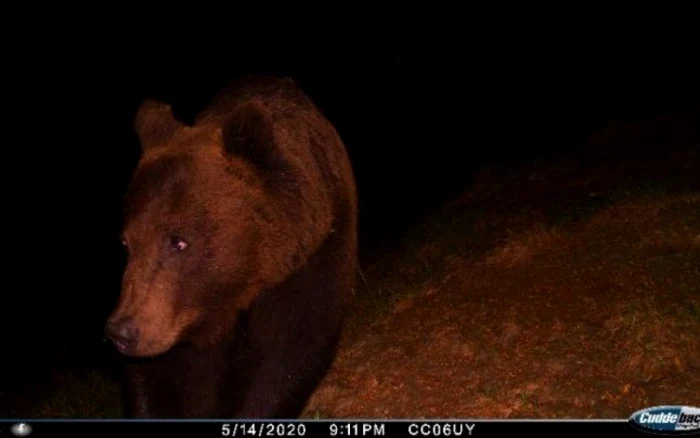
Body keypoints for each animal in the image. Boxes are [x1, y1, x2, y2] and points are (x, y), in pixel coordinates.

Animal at [106, 76, 358, 418]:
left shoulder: (311, 260)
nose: (121, 332)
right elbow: (160, 375)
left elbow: (290, 348)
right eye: (126, 244)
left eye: (179, 242)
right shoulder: (178, 316)